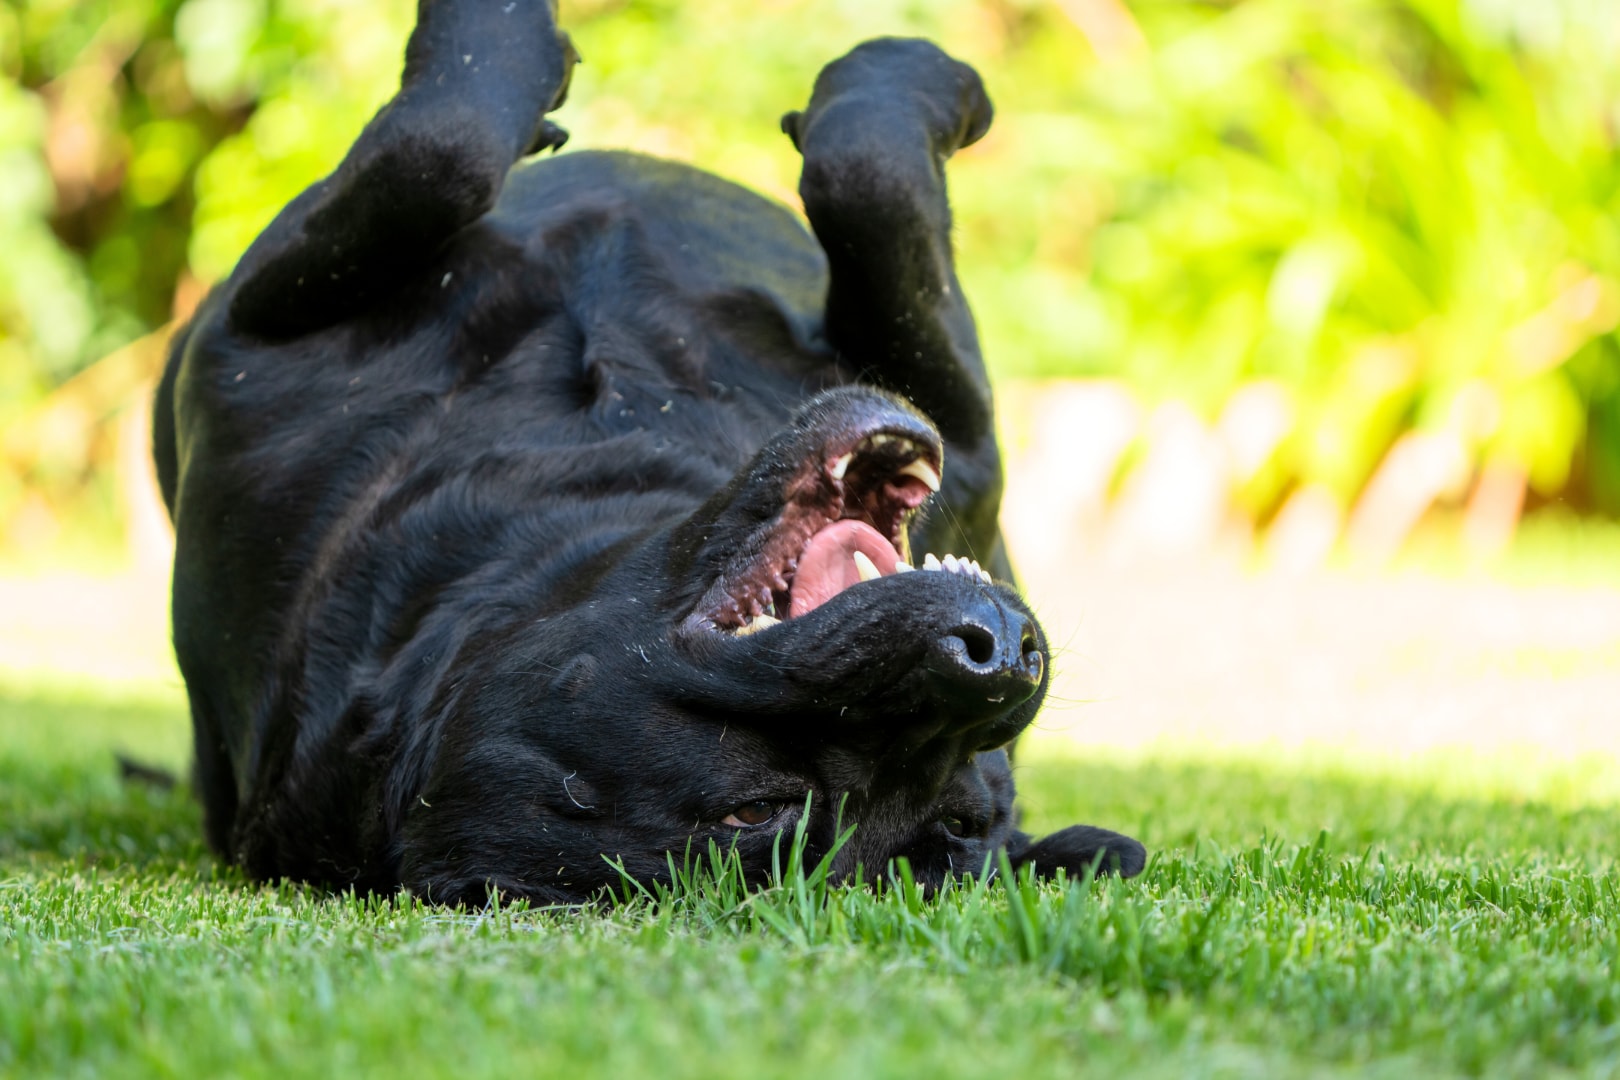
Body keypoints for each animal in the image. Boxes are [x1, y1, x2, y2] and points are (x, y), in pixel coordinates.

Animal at [149, 0, 1140, 906]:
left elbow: (870, 180)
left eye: (962, 818)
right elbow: (444, 147)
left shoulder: (962, 440)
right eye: (757, 811)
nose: (989, 656)